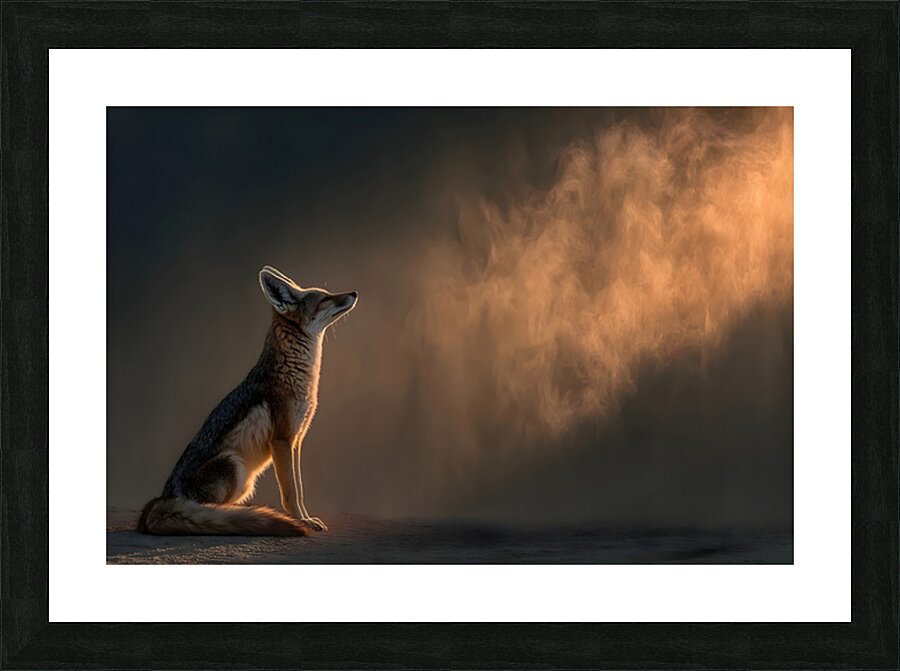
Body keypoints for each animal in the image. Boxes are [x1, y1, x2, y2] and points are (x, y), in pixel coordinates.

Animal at [138, 265, 358, 536]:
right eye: (324, 299)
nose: (354, 293)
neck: (296, 374)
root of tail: (162, 499)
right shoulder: (282, 440)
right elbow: (291, 493)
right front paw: (301, 521)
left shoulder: (296, 440)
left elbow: (299, 489)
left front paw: (306, 518)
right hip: (234, 464)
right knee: (212, 510)